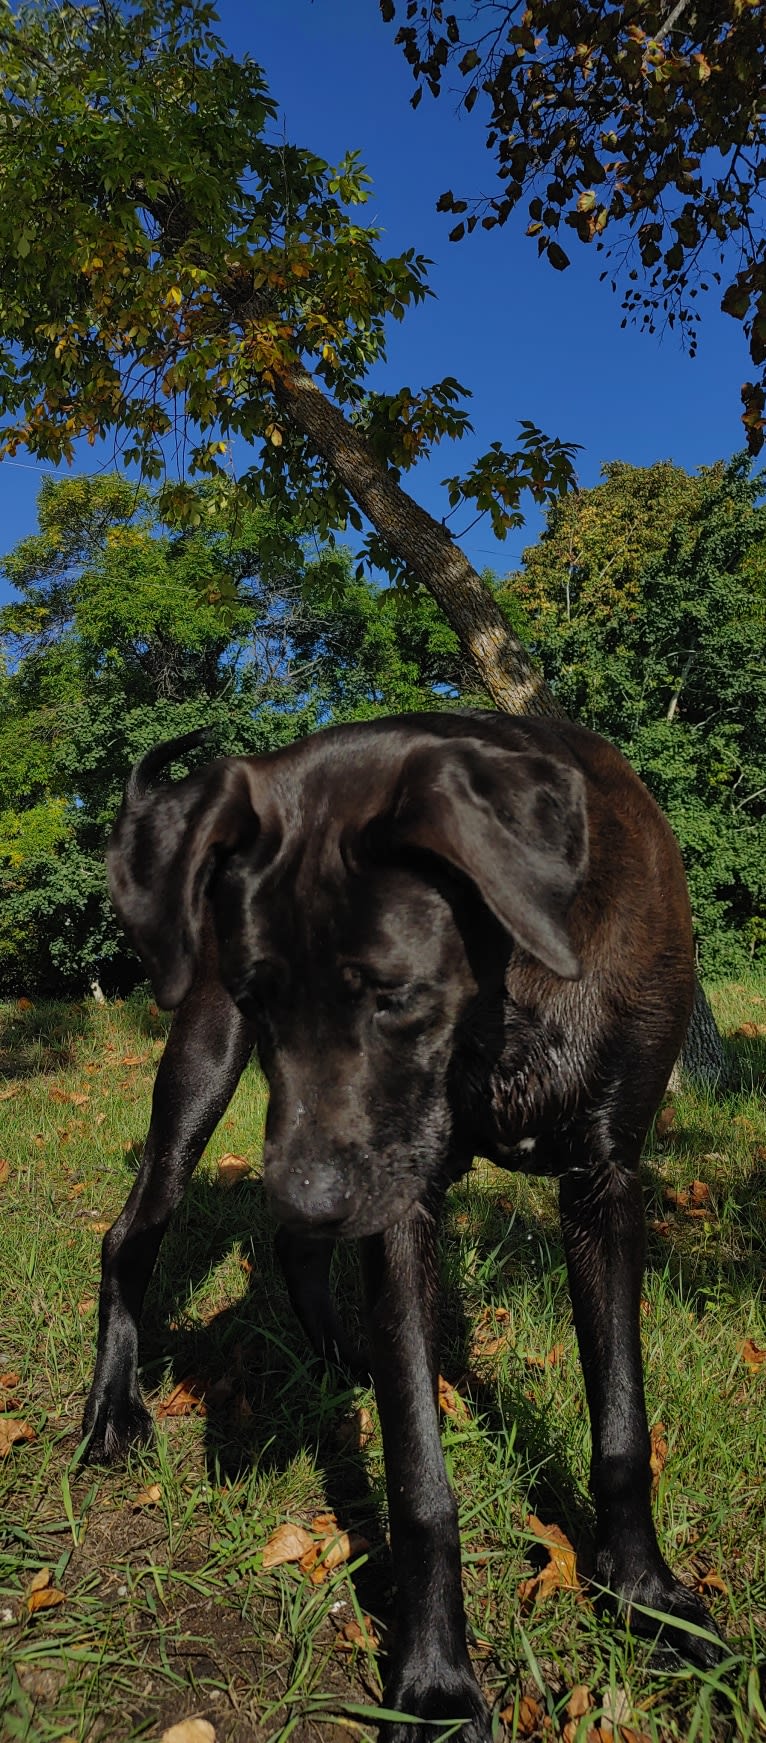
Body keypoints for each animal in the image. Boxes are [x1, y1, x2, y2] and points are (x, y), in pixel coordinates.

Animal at [85, 711, 725, 1743]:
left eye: (394, 994)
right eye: (260, 994)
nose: (305, 1193)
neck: (513, 993)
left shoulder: (605, 1182)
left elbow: (624, 1427)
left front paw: (645, 1598)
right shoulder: (398, 1200)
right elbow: (421, 1484)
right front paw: (434, 1685)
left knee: (290, 1250)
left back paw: (336, 1350)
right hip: (203, 1075)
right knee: (133, 1237)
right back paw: (113, 1408)